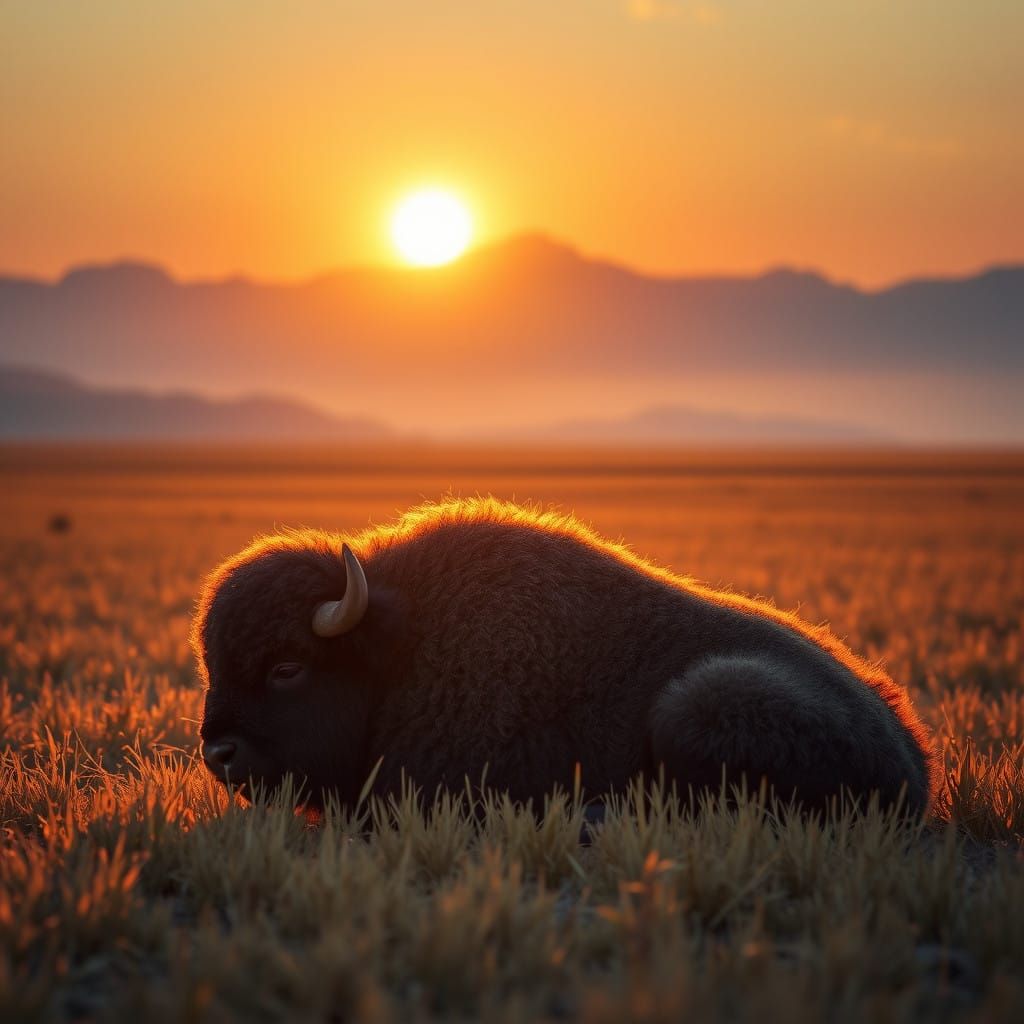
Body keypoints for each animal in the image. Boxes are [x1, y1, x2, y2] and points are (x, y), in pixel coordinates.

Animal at [193, 499, 935, 814]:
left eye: (286, 667)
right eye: (211, 667)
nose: (217, 751)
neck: (400, 648)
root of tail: (913, 759)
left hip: (701, 703)